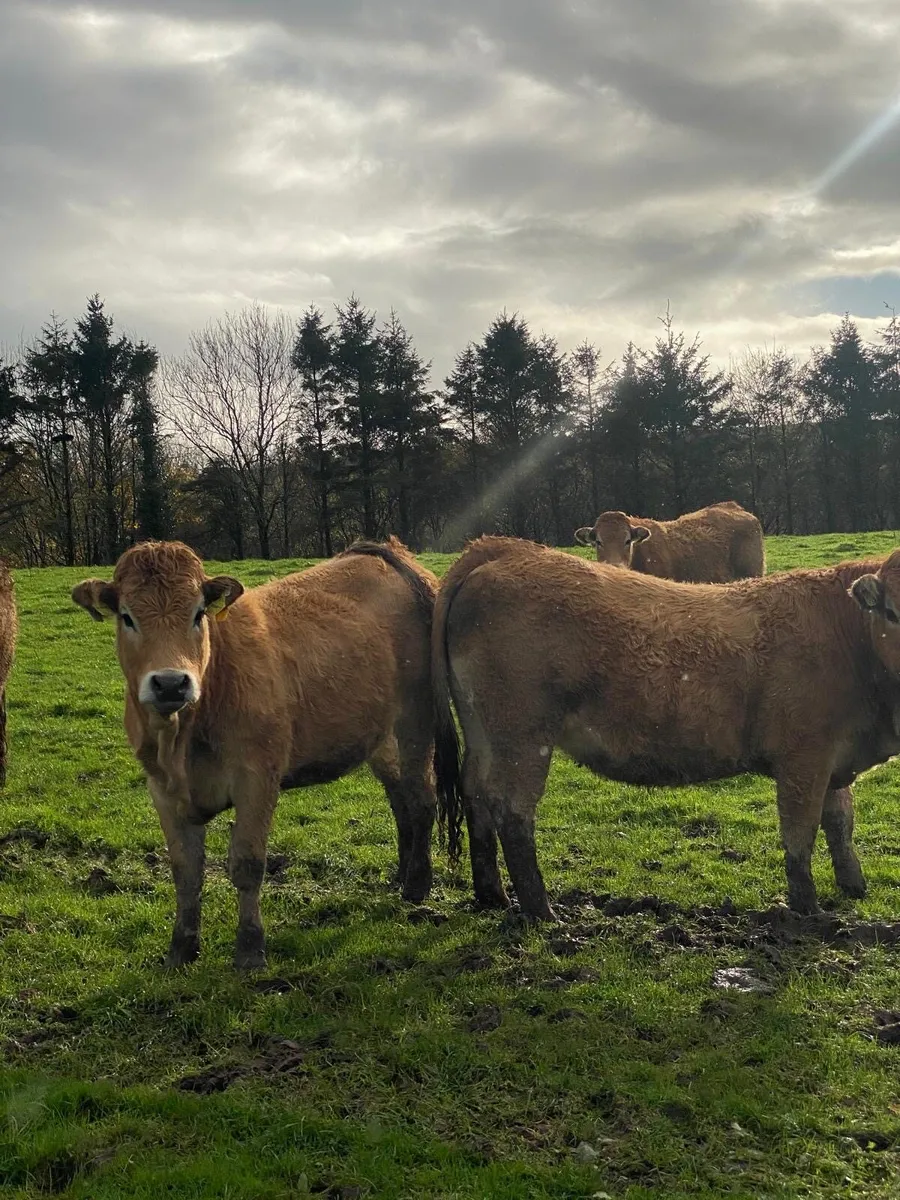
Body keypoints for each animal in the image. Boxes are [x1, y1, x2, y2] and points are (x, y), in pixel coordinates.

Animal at [72, 538, 460, 970]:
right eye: (127, 617)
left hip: (416, 719)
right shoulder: (162, 789)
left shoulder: (257, 779)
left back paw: (416, 885)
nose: (171, 683)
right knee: (400, 799)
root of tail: (383, 552)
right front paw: (181, 948)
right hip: (379, 734)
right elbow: (186, 872)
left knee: (422, 799)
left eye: (197, 614)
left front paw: (250, 949)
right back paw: (401, 874)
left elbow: (247, 864)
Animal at [433, 535, 900, 921]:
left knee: (476, 795)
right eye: (893, 613)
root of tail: (505, 549)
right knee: (513, 810)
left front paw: (854, 886)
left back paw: (492, 895)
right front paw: (808, 912)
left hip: (483, 734)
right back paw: (541, 912)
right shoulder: (803, 758)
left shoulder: (834, 758)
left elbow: (840, 823)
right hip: (523, 737)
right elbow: (800, 835)